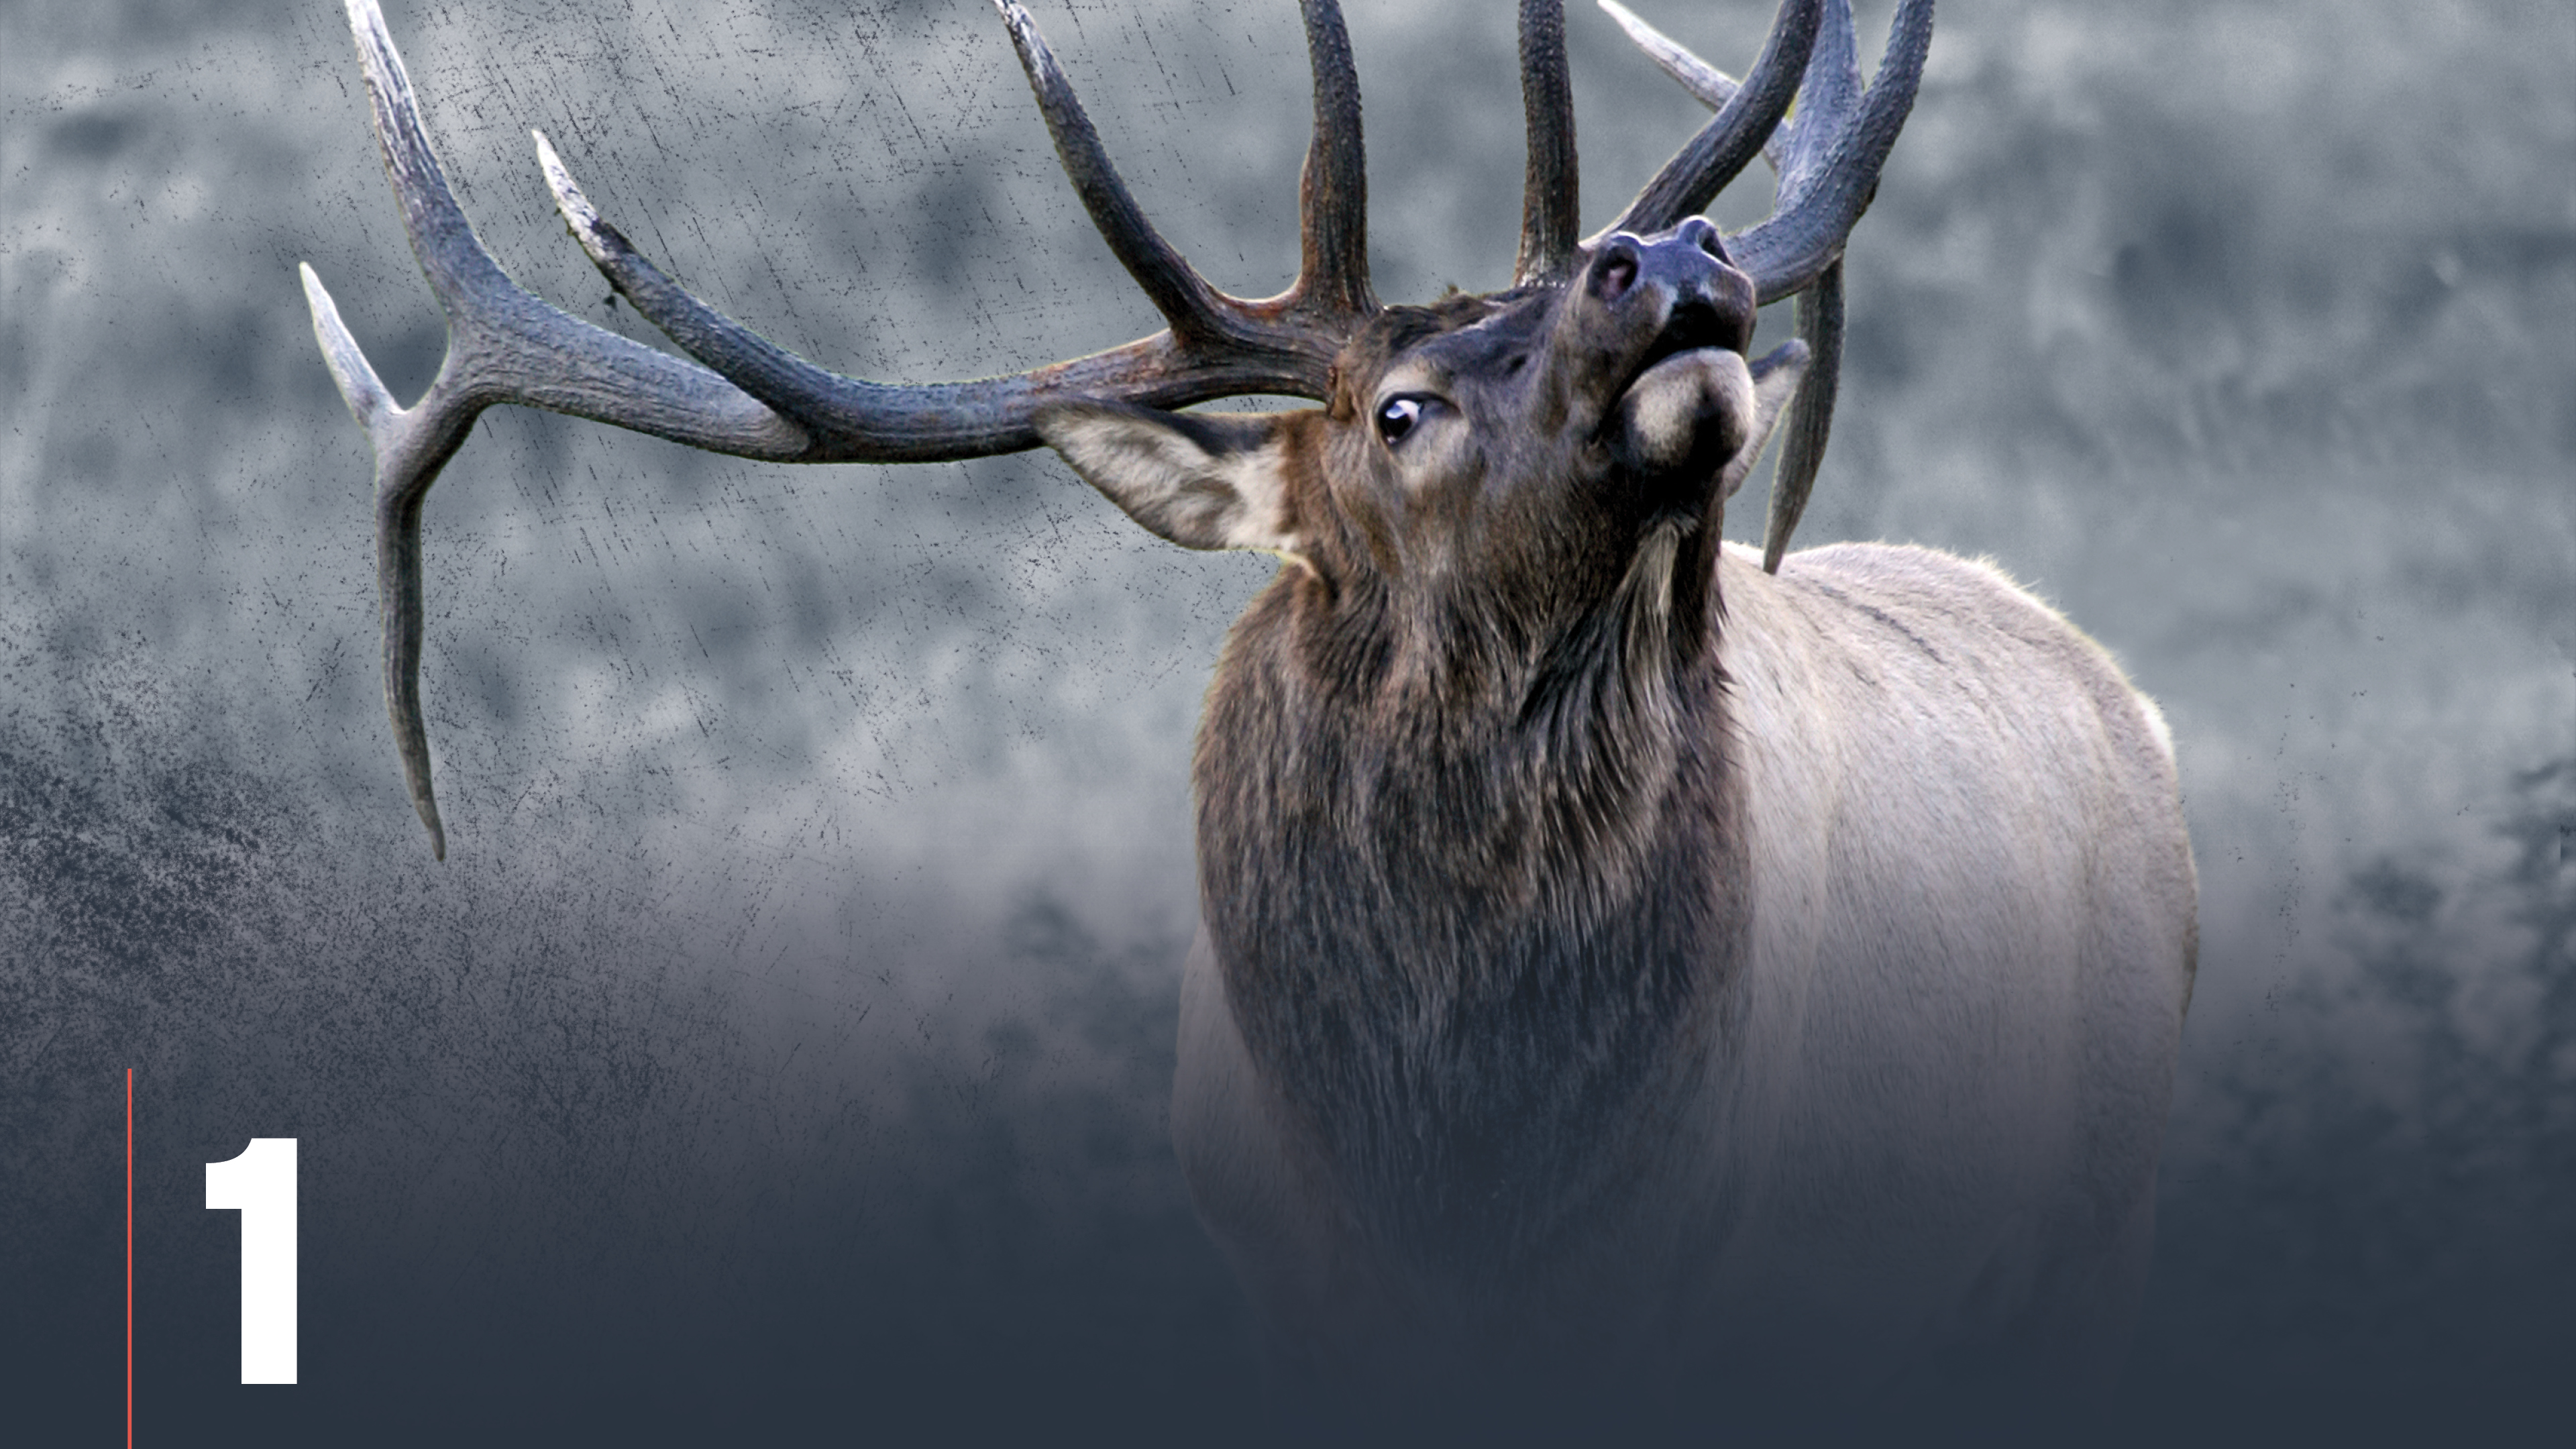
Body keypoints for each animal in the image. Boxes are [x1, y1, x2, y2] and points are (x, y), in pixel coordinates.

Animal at [302, 0, 2197, 1428]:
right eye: (1401, 408)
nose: (1661, 250)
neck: (1457, 1154)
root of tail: (2115, 693)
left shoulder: (1701, 1265)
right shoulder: (1294, 1287)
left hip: (2088, 1229)